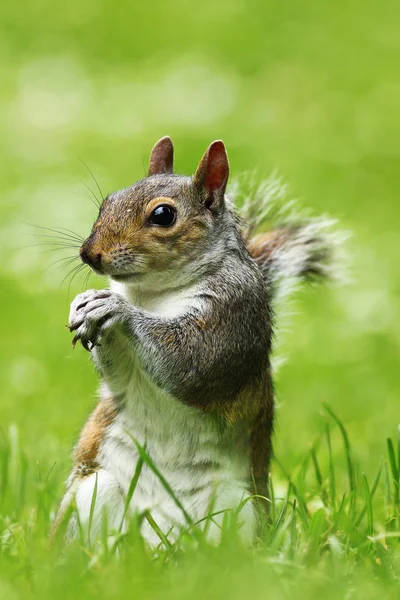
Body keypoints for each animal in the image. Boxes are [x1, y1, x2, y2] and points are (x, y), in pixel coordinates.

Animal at [52, 137, 340, 548]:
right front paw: (83, 303)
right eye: (107, 201)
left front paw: (116, 308)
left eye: (163, 215)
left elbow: (191, 363)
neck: (153, 293)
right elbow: (120, 375)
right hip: (96, 490)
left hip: (237, 507)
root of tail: (160, 544)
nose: (88, 254)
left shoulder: (233, 316)